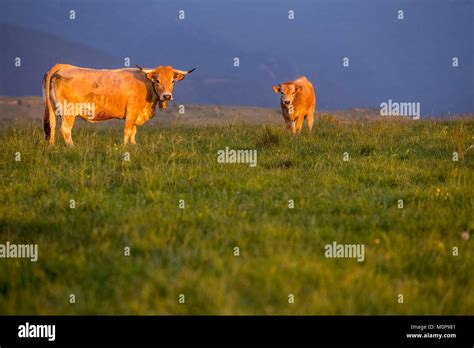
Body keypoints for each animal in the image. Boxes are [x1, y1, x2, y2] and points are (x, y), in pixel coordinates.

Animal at [42, 63, 194, 144]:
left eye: (172, 81)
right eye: (157, 81)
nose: (167, 96)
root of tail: (62, 67)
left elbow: (133, 131)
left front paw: (134, 145)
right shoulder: (131, 111)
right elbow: (127, 130)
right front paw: (126, 147)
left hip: (53, 110)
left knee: (52, 128)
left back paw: (52, 147)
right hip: (69, 111)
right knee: (65, 129)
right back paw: (72, 147)